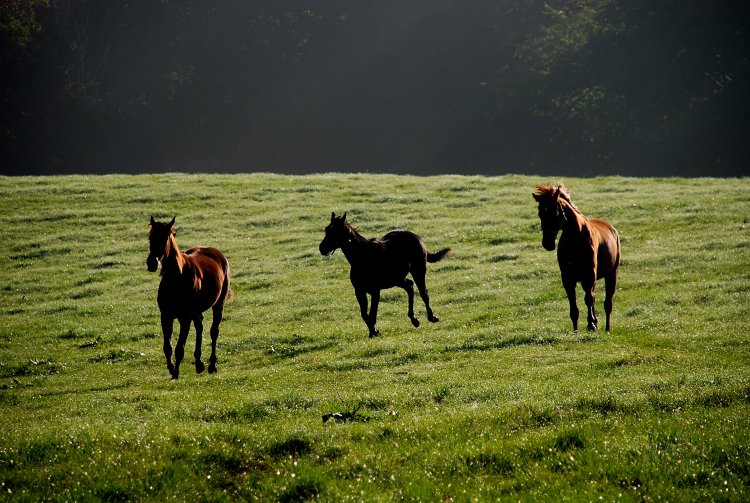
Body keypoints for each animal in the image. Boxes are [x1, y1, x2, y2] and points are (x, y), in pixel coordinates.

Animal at [145, 216, 231, 378]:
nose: (151, 263)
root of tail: (217, 253)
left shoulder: (184, 317)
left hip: (218, 304)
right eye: (150, 237)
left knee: (214, 331)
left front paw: (176, 373)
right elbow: (167, 347)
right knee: (200, 326)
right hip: (195, 311)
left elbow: (179, 348)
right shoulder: (166, 316)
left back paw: (211, 365)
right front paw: (171, 368)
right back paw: (199, 363)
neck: (176, 278)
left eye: (166, 237)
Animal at [318, 213, 452, 338]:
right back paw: (414, 320)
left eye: (336, 231)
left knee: (423, 293)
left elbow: (372, 315)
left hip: (418, 270)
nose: (322, 248)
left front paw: (375, 332)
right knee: (409, 286)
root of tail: (416, 236)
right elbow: (364, 314)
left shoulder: (375, 291)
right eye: (326, 229)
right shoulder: (359, 291)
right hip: (397, 279)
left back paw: (431, 317)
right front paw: (372, 332)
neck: (362, 257)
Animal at [536, 183, 624, 332]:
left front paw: (591, 325)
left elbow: (588, 299)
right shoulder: (568, 278)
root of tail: (612, 229)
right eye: (540, 214)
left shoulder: (588, 275)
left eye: (554, 212)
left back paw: (606, 328)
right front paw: (576, 330)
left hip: (611, 274)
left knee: (607, 302)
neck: (574, 240)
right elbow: (573, 303)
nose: (547, 243)